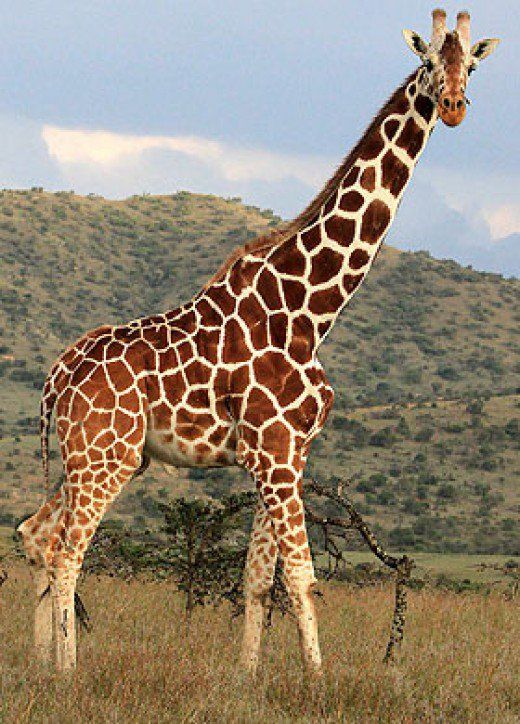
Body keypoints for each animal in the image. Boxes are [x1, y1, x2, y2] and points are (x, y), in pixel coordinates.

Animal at [17, 8, 500, 672]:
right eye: (428, 61)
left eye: (470, 63)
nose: (452, 105)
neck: (309, 311)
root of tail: (56, 376)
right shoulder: (273, 450)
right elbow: (301, 576)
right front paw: (318, 679)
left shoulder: (290, 453)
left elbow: (257, 577)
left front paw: (247, 676)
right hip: (102, 456)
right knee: (68, 550)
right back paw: (68, 671)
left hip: (100, 456)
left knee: (35, 534)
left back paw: (42, 666)